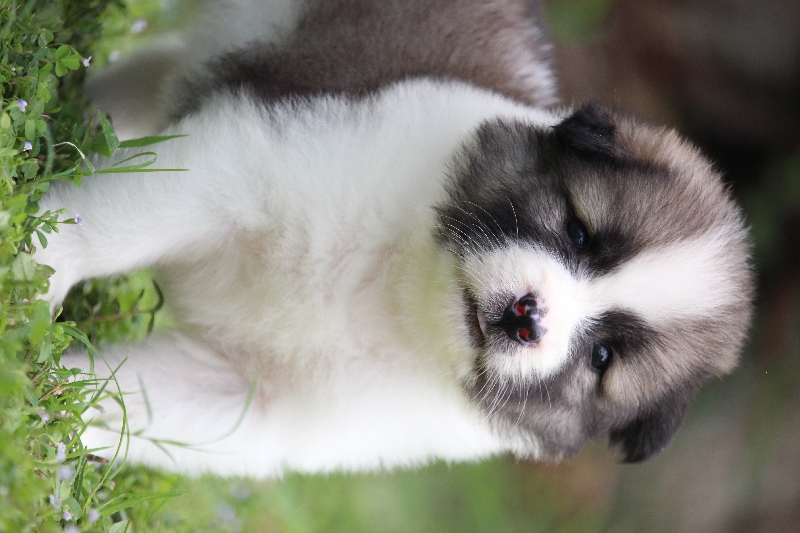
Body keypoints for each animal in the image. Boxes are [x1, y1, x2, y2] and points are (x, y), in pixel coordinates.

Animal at [36, 0, 754, 476]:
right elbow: (113, 224)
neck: (395, 290)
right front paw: (40, 267)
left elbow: (139, 401)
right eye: (579, 232)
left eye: (603, 357)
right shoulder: (238, 171)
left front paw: (52, 406)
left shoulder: (252, 396)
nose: (527, 316)